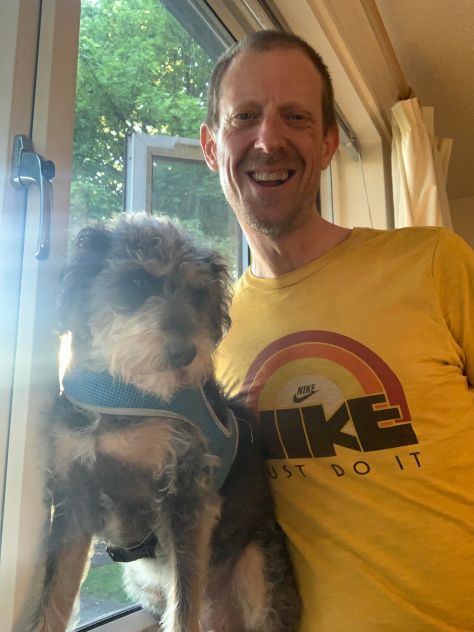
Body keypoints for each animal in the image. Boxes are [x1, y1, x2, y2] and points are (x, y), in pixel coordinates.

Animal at [23, 213, 301, 632]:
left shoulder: (187, 494)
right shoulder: (75, 494)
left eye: (198, 293)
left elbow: (184, 607)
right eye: (137, 282)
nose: (186, 353)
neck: (124, 394)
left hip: (256, 572)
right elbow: (53, 594)